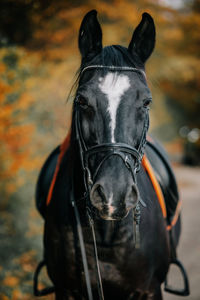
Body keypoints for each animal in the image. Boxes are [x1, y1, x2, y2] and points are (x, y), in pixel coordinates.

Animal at [34, 9, 189, 300]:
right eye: (81, 101)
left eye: (146, 102)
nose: (113, 196)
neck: (106, 232)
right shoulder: (66, 290)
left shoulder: (149, 290)